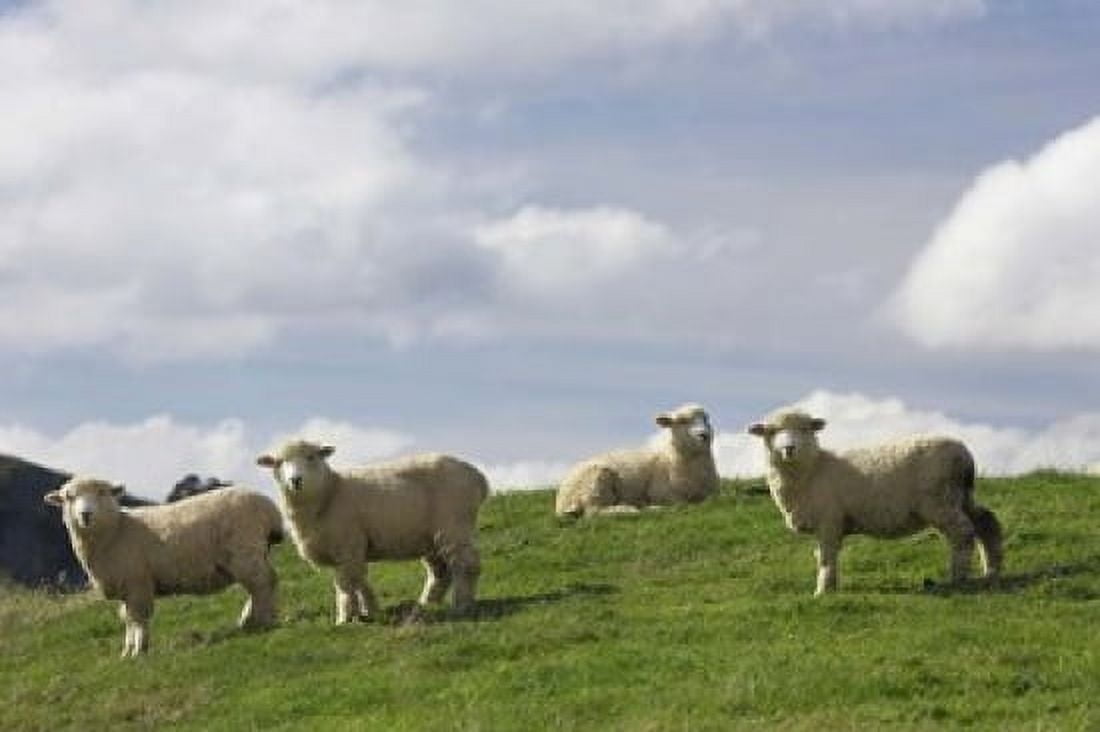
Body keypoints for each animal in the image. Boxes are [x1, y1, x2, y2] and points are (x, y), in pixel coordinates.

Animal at [44, 477, 283, 657]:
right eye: (69, 497)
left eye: (102, 493)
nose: (86, 514)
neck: (116, 530)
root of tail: (269, 507)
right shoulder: (126, 587)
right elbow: (127, 618)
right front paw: (127, 651)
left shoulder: (138, 582)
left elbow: (138, 617)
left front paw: (139, 650)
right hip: (249, 553)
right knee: (261, 584)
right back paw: (250, 620)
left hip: (244, 550)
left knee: (263, 583)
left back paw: (263, 620)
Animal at [256, 440, 489, 623]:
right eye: (279, 462)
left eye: (311, 457)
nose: (296, 480)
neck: (330, 492)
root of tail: (477, 476)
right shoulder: (353, 549)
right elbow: (360, 581)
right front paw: (370, 610)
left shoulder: (347, 544)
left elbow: (345, 586)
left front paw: (344, 618)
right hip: (431, 538)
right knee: (440, 572)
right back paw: (426, 604)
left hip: (454, 525)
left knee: (466, 564)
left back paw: (462, 605)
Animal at [555, 403, 719, 518]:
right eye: (682, 421)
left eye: (706, 420)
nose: (703, 435)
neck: (670, 459)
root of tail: (561, 502)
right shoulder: (664, 495)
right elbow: (680, 505)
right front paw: (654, 507)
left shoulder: (710, 495)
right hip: (595, 484)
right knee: (593, 512)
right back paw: (630, 509)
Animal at [747, 409, 1003, 596]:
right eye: (772, 432)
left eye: (804, 429)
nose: (789, 448)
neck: (813, 469)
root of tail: (965, 454)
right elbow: (822, 555)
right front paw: (829, 586)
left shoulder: (829, 520)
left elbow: (826, 557)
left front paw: (823, 591)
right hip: (961, 495)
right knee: (986, 521)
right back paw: (991, 570)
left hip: (940, 501)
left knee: (963, 532)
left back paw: (958, 577)